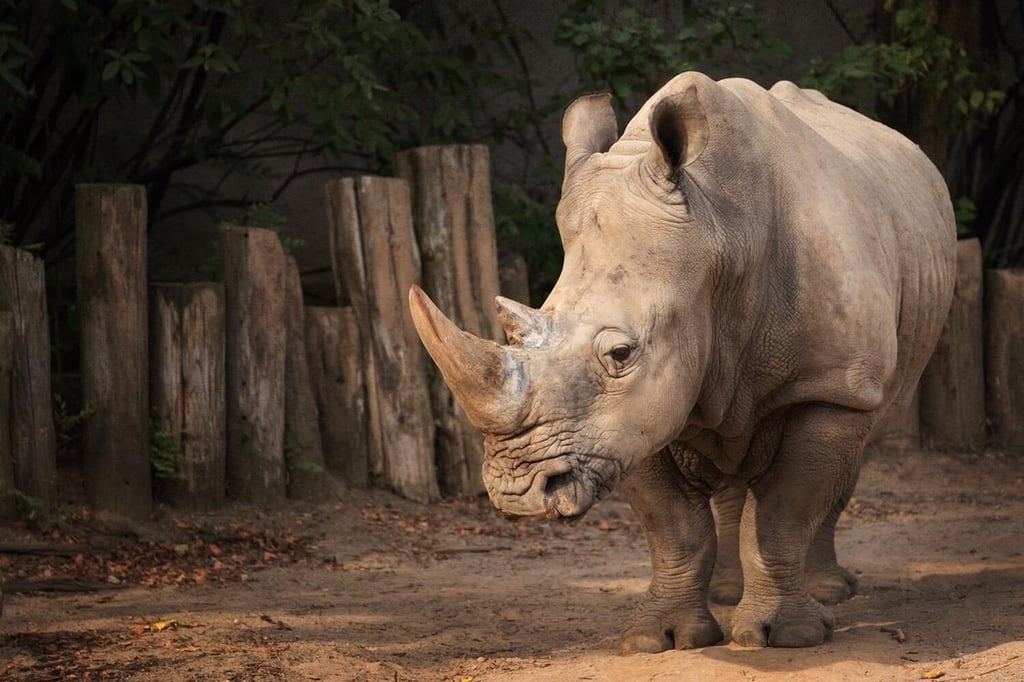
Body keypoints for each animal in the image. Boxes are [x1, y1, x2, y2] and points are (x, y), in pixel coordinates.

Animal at [409, 72, 956, 651]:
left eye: (620, 353)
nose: (517, 495)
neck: (720, 235)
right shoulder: (630, 419)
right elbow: (675, 528)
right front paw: (663, 639)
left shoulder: (830, 385)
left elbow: (783, 514)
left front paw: (786, 637)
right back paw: (728, 594)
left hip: (869, 369)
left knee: (854, 449)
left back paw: (829, 593)